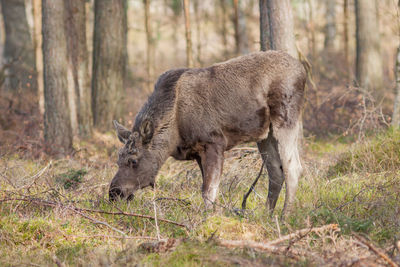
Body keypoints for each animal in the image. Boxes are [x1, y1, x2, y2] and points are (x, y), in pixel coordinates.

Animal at [111, 50, 304, 216]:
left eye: (133, 160)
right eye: (118, 160)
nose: (114, 193)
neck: (174, 133)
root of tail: (302, 71)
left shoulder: (214, 142)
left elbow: (208, 190)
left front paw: (207, 218)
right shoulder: (197, 152)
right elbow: (208, 188)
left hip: (286, 120)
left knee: (293, 168)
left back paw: (285, 216)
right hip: (265, 135)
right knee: (275, 171)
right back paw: (267, 215)